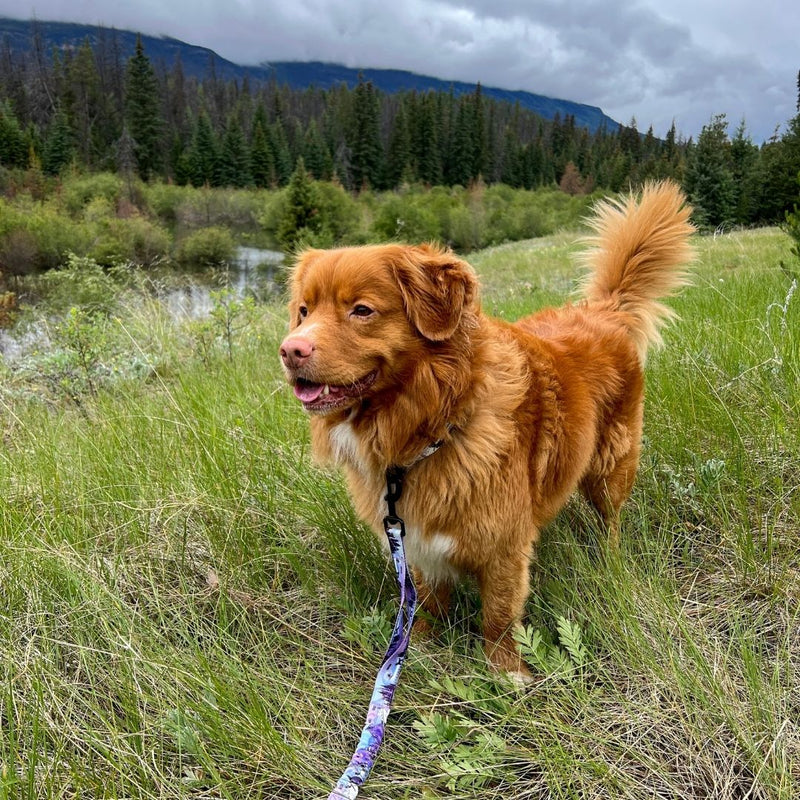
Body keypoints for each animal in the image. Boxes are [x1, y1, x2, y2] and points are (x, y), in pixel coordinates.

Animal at [278, 183, 692, 676]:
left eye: (361, 310)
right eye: (304, 311)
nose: (290, 350)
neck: (432, 426)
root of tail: (604, 309)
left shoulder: (504, 549)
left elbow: (497, 615)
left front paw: (506, 671)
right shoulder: (416, 544)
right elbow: (424, 604)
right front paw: (418, 650)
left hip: (612, 466)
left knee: (610, 519)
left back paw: (608, 561)